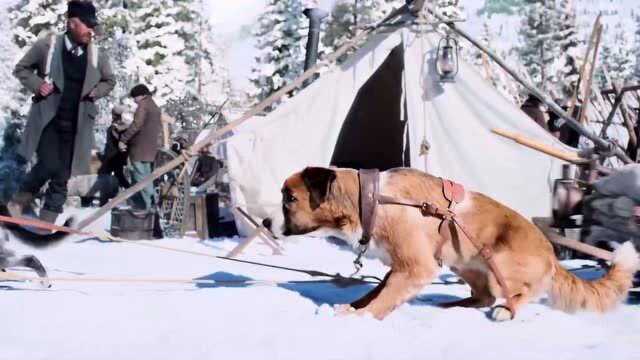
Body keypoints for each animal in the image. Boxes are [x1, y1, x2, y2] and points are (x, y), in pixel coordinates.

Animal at [280, 166, 640, 320]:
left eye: (290, 199)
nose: (270, 224)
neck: (371, 198)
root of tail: (552, 254)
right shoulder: (402, 267)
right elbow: (374, 292)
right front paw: (353, 308)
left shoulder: (415, 268)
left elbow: (383, 299)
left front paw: (361, 318)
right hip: (459, 261)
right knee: (482, 297)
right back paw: (452, 305)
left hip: (496, 261)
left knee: (517, 295)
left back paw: (506, 310)